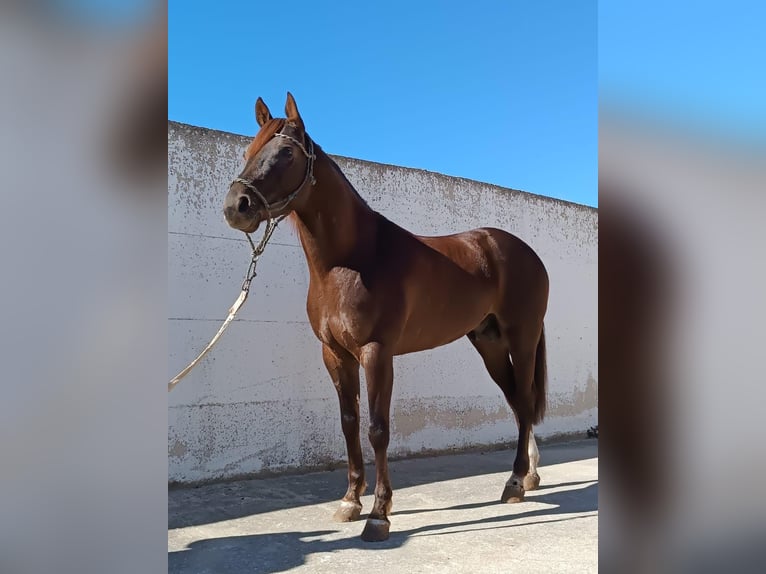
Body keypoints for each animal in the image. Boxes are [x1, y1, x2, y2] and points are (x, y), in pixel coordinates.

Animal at [222, 92, 552, 544]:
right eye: (248, 152)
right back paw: (529, 476)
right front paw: (350, 502)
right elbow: (349, 422)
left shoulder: (377, 352)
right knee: (519, 404)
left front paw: (379, 514)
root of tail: (524, 251)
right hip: (489, 345)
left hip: (521, 337)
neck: (352, 260)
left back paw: (516, 483)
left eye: (286, 153)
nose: (236, 207)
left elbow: (378, 428)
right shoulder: (335, 355)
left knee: (524, 401)